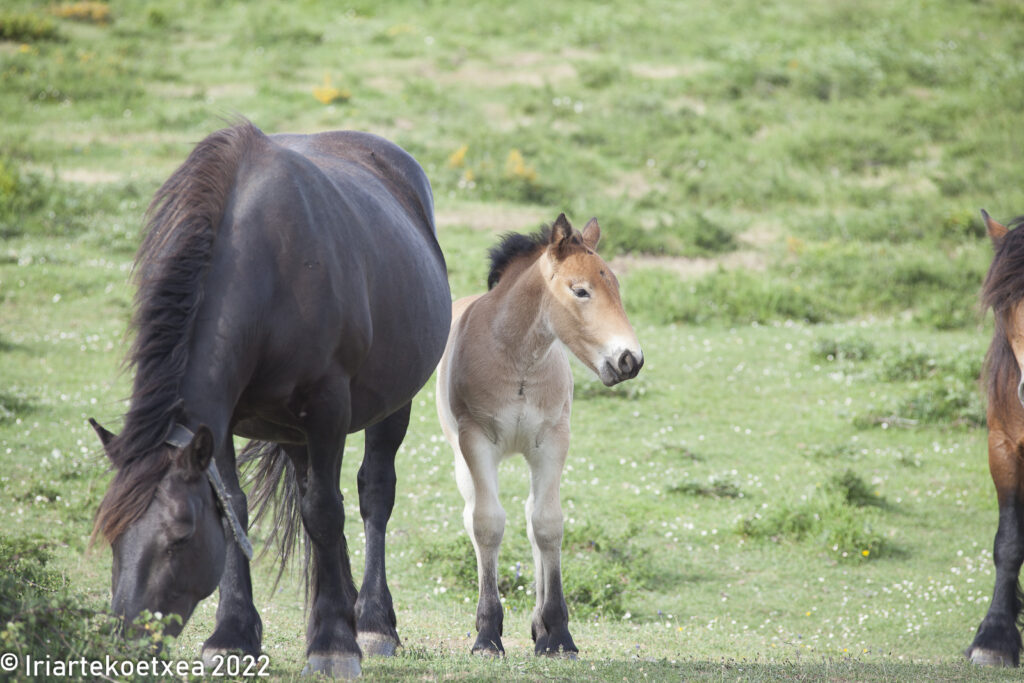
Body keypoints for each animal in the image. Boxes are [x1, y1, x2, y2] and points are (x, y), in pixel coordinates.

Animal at [90, 121, 450, 679]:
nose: (126, 643)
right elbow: (240, 507)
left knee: (371, 494)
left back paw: (370, 623)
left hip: (391, 406)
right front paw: (233, 635)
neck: (271, 271)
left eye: (180, 536)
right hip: (293, 432)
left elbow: (325, 510)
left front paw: (334, 645)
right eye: (113, 535)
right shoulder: (222, 423)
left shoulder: (328, 408)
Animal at [436, 211, 643, 655]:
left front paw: (558, 634)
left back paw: (539, 627)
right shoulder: (476, 442)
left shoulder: (552, 443)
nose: (630, 360)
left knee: (533, 518)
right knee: (473, 517)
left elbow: (547, 525)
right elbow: (487, 524)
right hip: (462, 460)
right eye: (580, 290)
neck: (519, 361)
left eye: (616, 286)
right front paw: (487, 634)